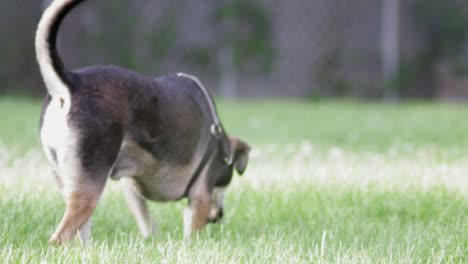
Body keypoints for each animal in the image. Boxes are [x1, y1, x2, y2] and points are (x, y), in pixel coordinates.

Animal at [35, 0, 249, 244]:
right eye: (226, 181)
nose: (219, 215)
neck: (220, 141)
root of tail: (71, 83)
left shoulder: (131, 188)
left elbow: (147, 223)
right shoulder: (200, 196)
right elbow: (191, 231)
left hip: (68, 180)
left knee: (80, 230)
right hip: (88, 188)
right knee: (59, 237)